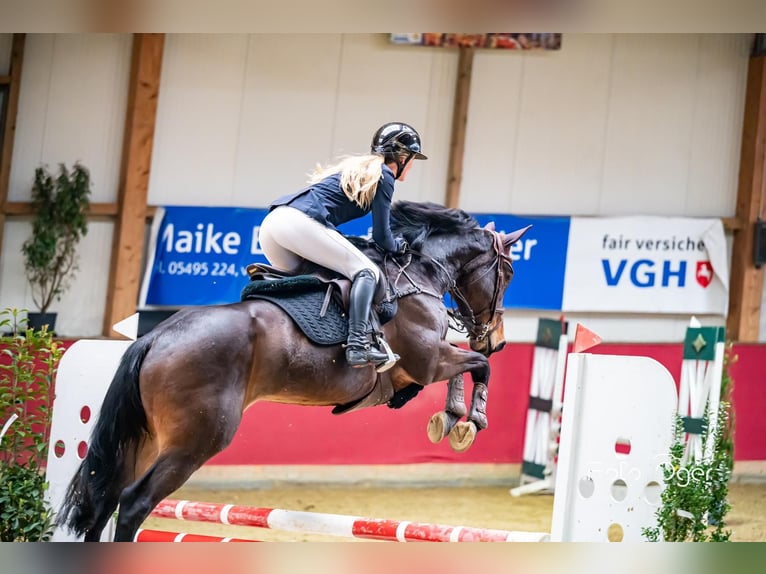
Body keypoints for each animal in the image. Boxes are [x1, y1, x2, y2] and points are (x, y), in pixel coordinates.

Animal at [57, 200, 531, 542]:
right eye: (508, 272)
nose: (497, 339)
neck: (415, 274)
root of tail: (153, 339)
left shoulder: (420, 368)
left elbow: (464, 368)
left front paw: (450, 418)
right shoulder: (428, 360)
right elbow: (477, 367)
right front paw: (467, 421)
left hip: (146, 439)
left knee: (105, 501)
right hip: (196, 440)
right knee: (134, 503)